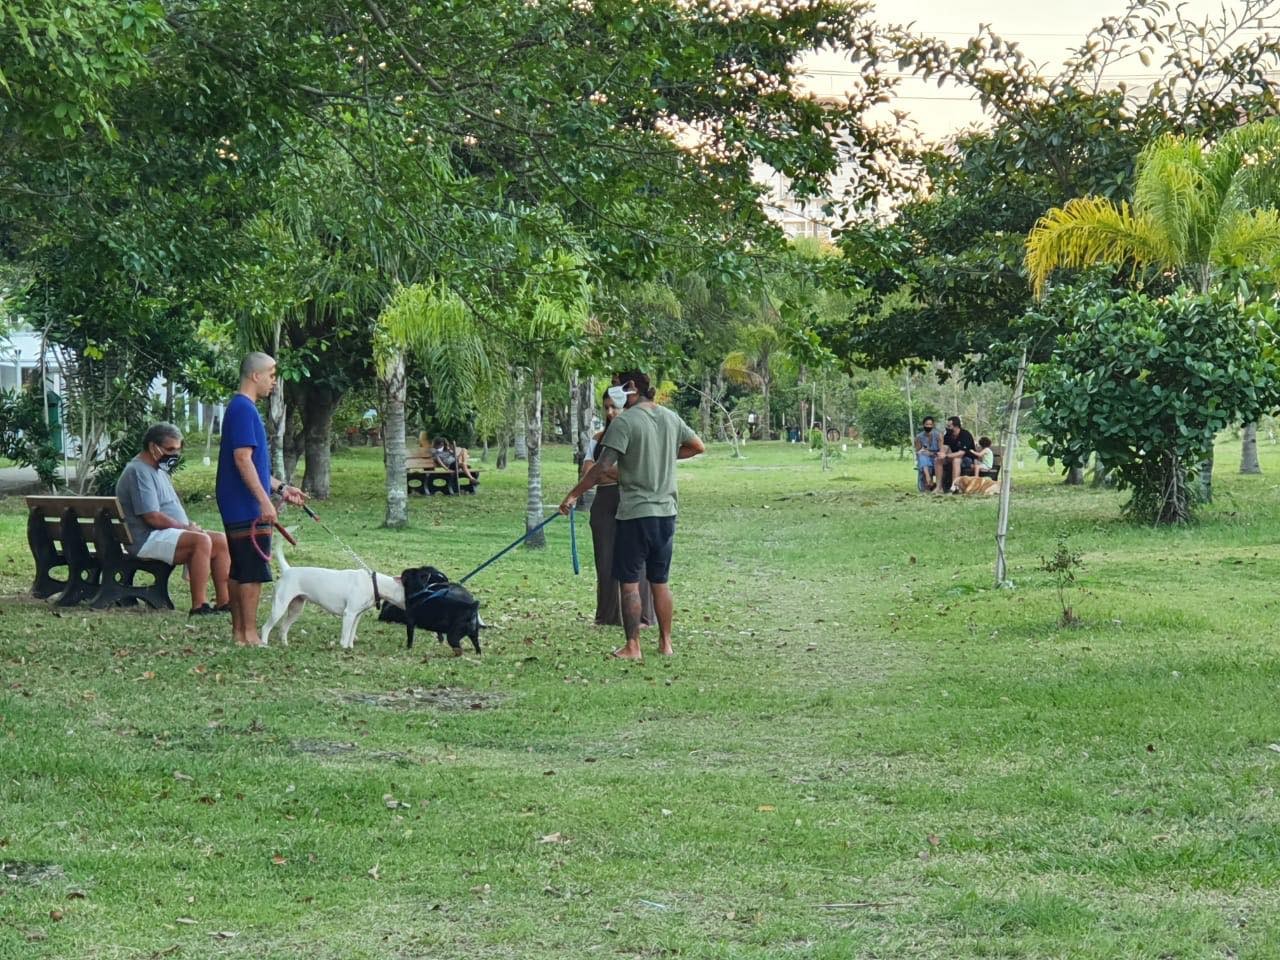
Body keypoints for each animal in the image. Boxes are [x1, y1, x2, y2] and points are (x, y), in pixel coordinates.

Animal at [261, 539, 406, 649]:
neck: (373, 582)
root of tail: (287, 570)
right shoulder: (349, 614)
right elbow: (345, 636)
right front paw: (344, 649)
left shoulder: (356, 616)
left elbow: (351, 635)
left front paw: (350, 648)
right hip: (279, 607)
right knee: (265, 627)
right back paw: (264, 644)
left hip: (296, 609)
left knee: (283, 627)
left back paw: (285, 644)